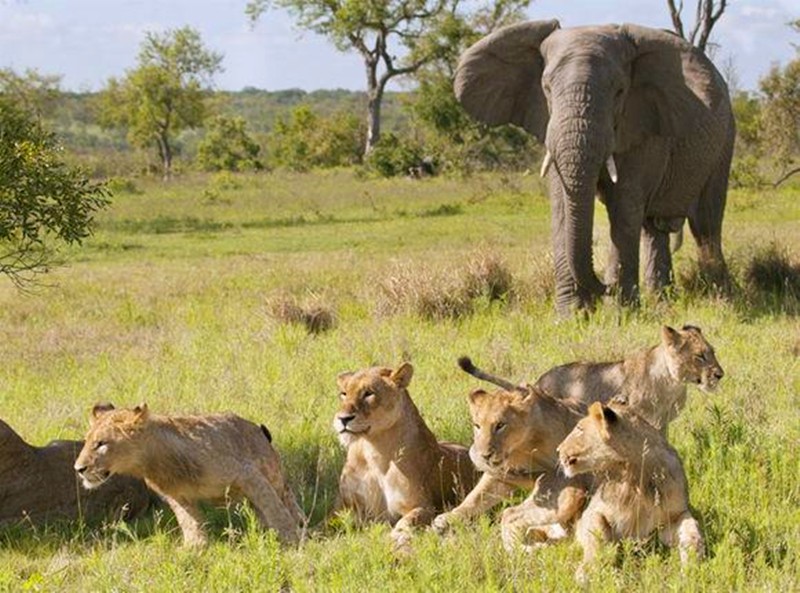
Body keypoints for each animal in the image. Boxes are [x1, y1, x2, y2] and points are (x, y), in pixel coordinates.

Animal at [74, 402, 304, 544]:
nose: (78, 469)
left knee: (285, 495)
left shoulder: (246, 473)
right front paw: (195, 548)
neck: (154, 463)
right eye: (87, 441)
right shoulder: (177, 496)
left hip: (271, 473)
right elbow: (189, 522)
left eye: (101, 443)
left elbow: (275, 509)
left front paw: (292, 540)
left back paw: (300, 522)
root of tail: (256, 428)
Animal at [332, 360, 478, 544]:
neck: (374, 450)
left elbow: (406, 522)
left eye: (368, 393)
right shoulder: (344, 508)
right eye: (343, 393)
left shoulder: (422, 506)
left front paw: (394, 538)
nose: (342, 418)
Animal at [454, 20, 736, 312]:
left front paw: (621, 313)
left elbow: (624, 206)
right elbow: (562, 206)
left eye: (620, 92)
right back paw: (663, 301)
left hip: (725, 138)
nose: (604, 287)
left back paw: (720, 297)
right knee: (653, 228)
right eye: (546, 89)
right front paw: (573, 315)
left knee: (705, 223)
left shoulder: (643, 129)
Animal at [560, 400, 704, 580]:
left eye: (579, 429)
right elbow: (597, 536)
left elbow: (692, 531)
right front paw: (589, 570)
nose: (558, 450)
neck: (634, 477)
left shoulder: (674, 516)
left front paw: (692, 566)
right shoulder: (593, 511)